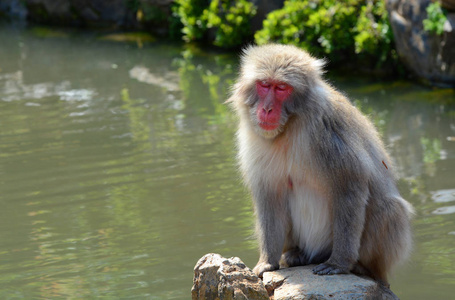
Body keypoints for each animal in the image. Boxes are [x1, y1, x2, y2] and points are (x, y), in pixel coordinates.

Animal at [228, 44, 414, 286]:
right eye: (264, 85)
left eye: (281, 88)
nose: (267, 109)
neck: (289, 128)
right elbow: (270, 195)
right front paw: (268, 261)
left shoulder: (327, 130)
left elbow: (349, 186)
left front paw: (339, 263)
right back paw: (296, 255)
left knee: (390, 208)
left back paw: (363, 267)